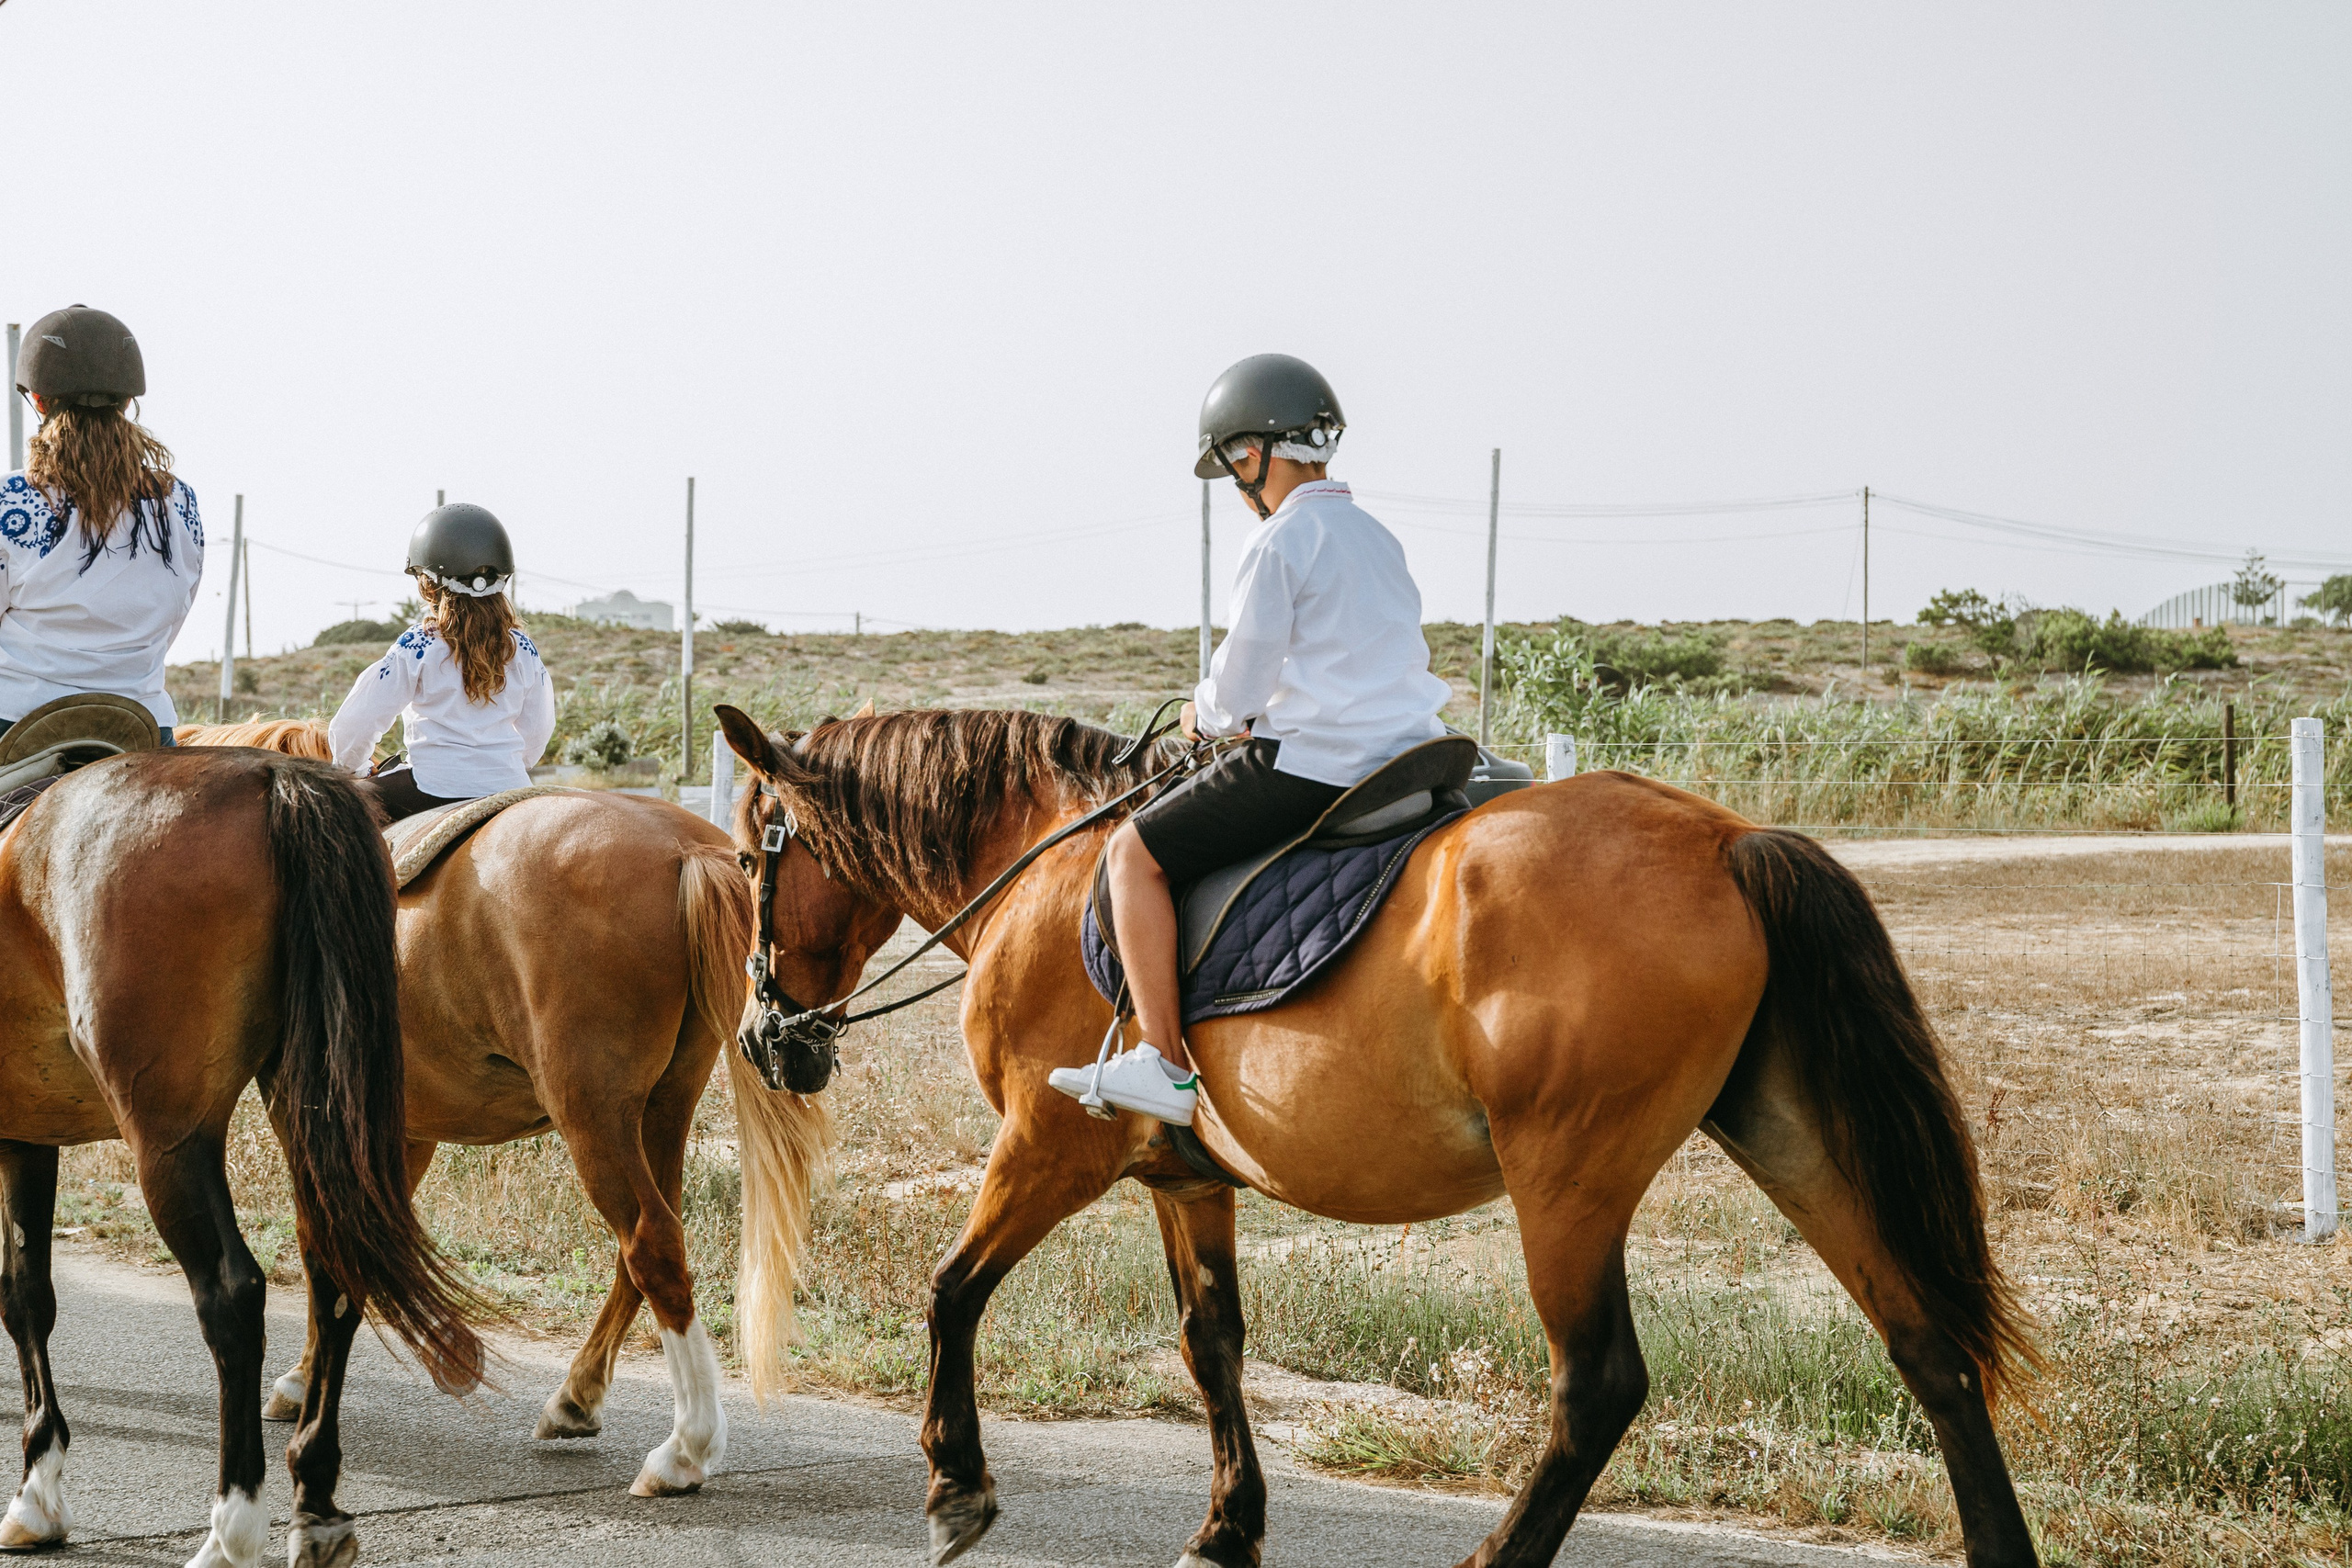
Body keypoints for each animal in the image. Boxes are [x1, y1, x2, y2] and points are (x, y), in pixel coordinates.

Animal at [0, 745, 484, 1568]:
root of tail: (273, 776)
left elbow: (20, 1295)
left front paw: (36, 1489)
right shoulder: (29, 1131)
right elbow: (30, 1291)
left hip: (169, 1139)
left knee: (232, 1295)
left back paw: (234, 1525)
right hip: (308, 1106)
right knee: (336, 1273)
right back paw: (314, 1498)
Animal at [179, 720, 831, 1497]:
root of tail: (681, 846)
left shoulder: (310, 1115)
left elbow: (327, 1241)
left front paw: (299, 1381)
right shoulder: (401, 1132)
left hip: (592, 1113)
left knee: (650, 1240)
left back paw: (685, 1446)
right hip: (662, 1107)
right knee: (650, 1241)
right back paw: (576, 1397)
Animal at [711, 703, 2042, 1568]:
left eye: (749, 857)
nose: (771, 1037)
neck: (1041, 864)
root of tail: (1723, 839)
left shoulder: (1050, 1146)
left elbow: (950, 1291)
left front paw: (956, 1482)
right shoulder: (1181, 1180)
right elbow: (1212, 1345)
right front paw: (1227, 1528)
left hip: (1567, 1177)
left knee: (1598, 1383)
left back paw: (1498, 1558)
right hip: (1790, 1134)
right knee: (1928, 1347)